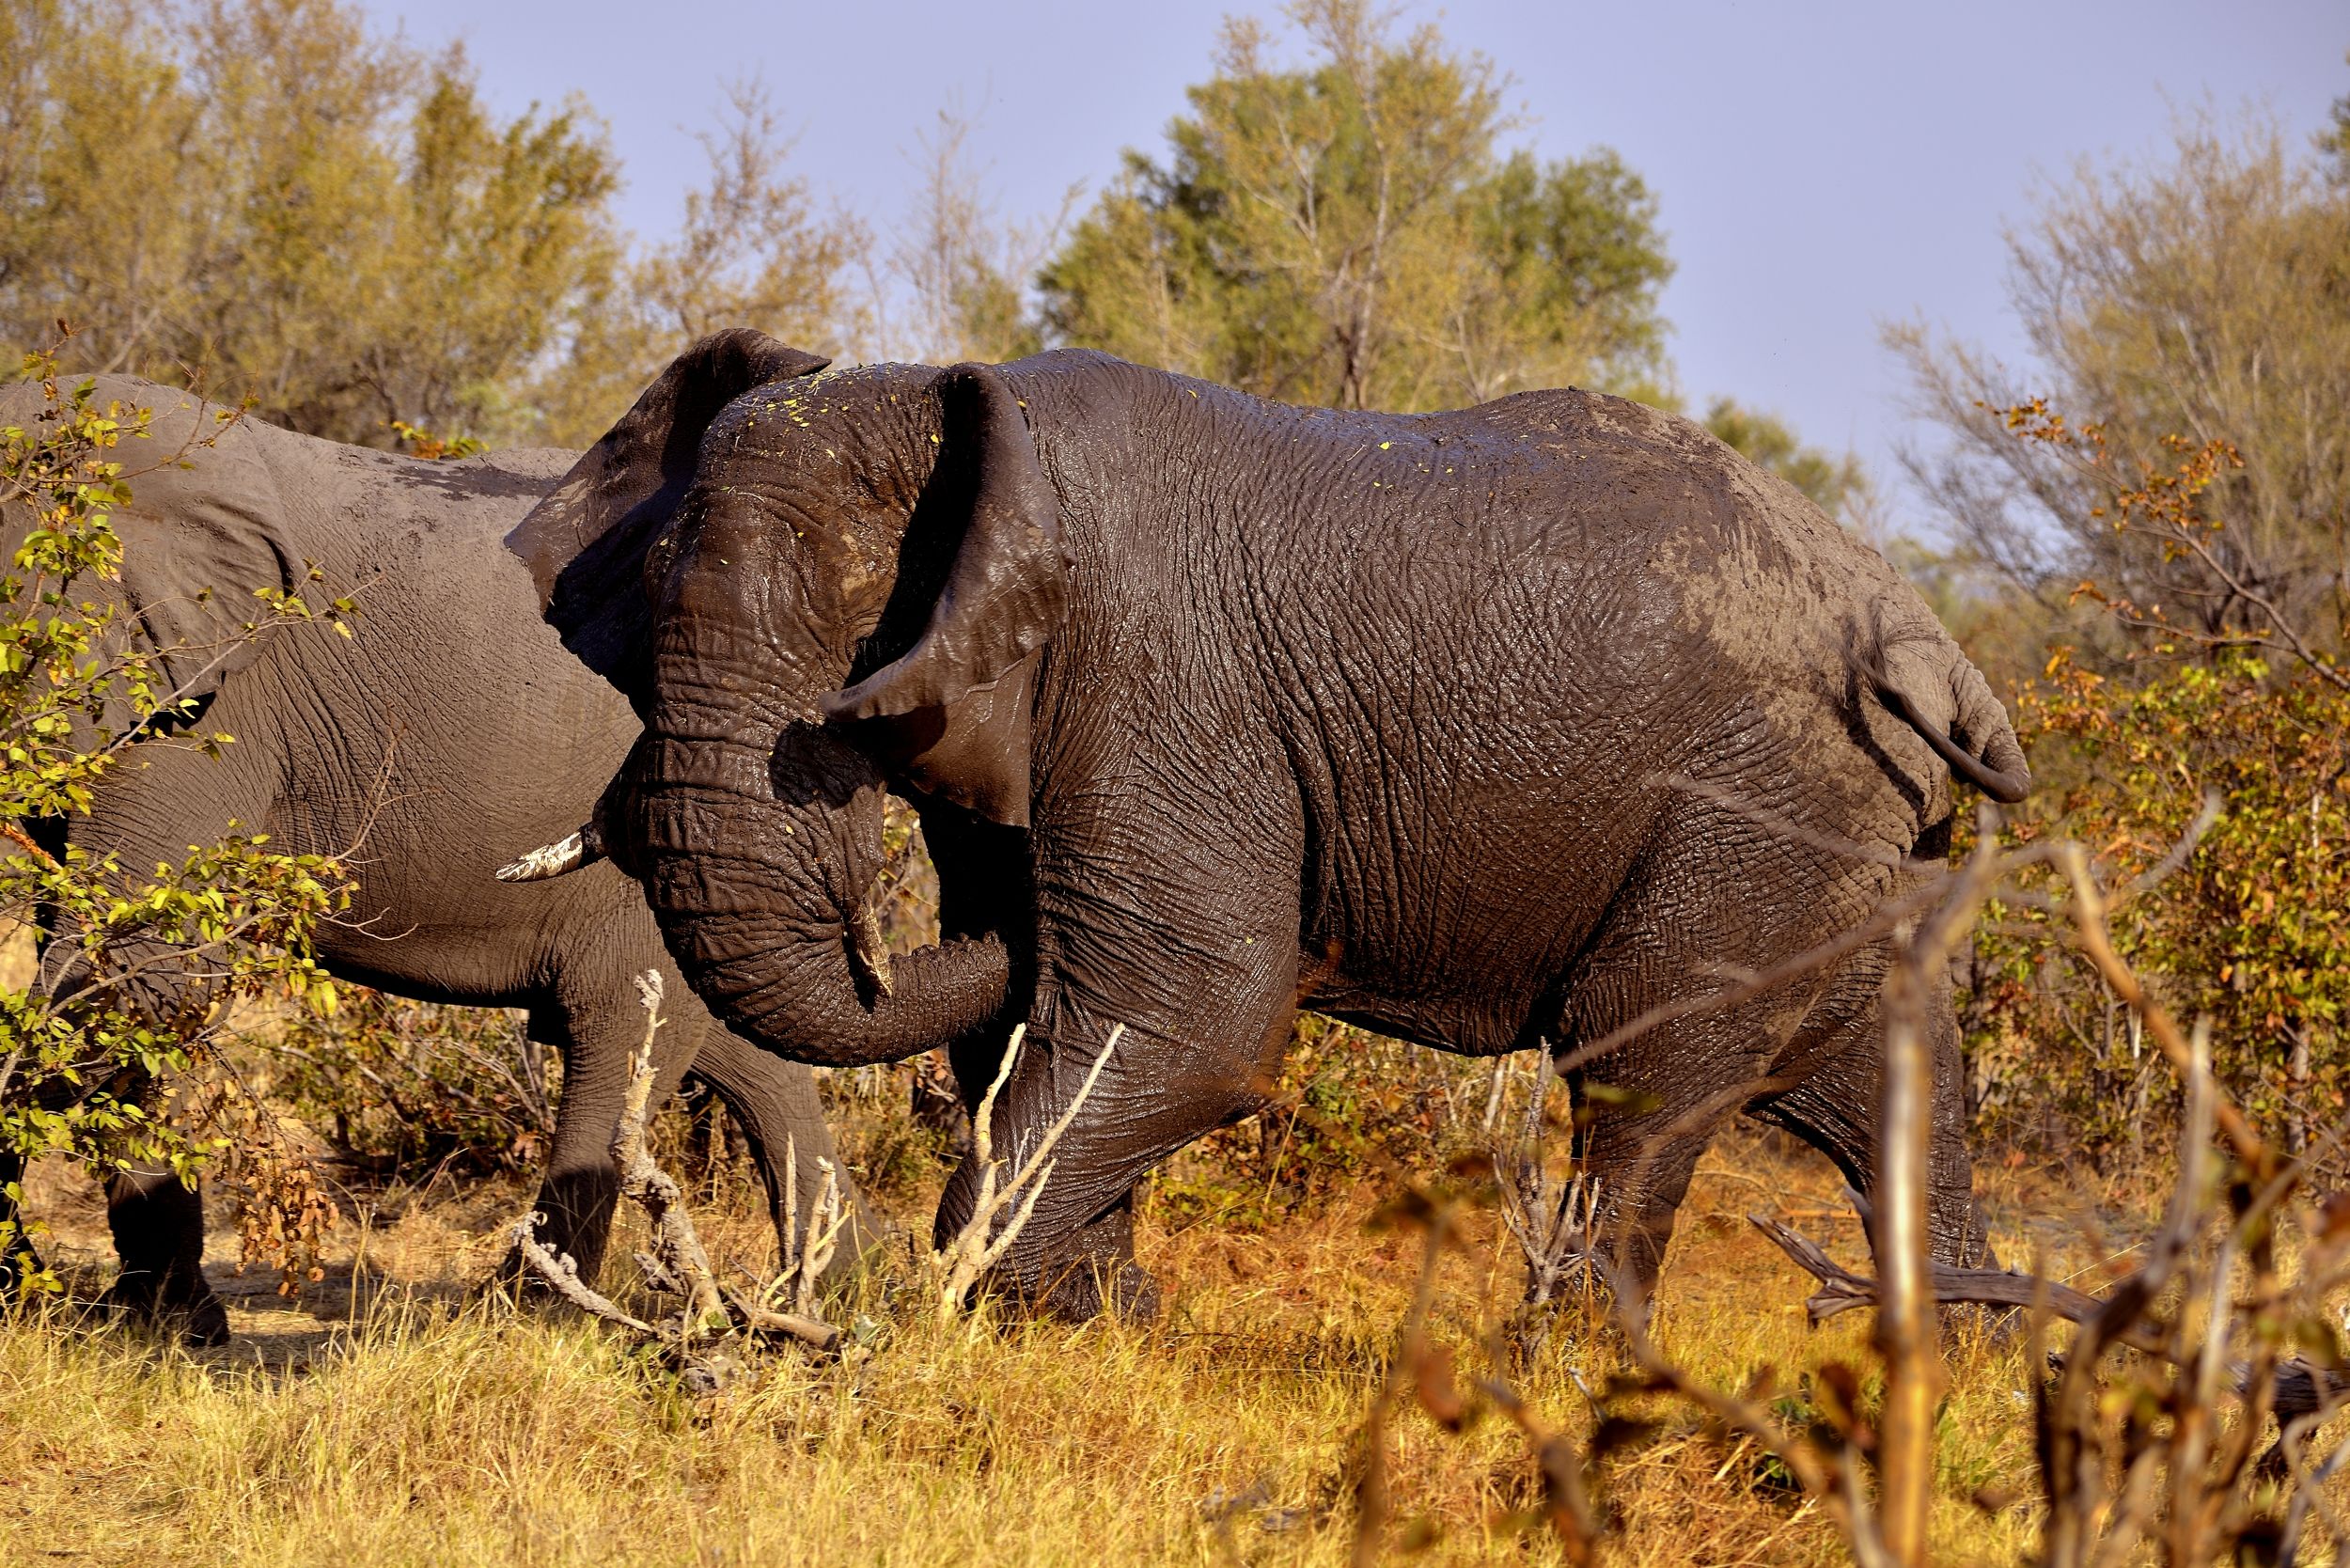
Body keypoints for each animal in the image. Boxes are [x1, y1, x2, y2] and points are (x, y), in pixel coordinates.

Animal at [0, 371, 872, 1344]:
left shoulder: (203, 698)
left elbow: (133, 972)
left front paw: (148, 1327)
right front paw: (106, 1311)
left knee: (617, 1032)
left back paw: (526, 1320)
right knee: (729, 1044)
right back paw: (845, 1299)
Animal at [506, 329, 2030, 1319]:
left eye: (840, 633)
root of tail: (1930, 642)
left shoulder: (1156, 679)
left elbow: (1196, 1018)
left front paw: (994, 1317)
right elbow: (1043, 1018)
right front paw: (1094, 1327)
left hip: (1759, 811)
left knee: (1641, 1078)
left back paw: (1573, 1379)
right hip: (1831, 837)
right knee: (1878, 1076)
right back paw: (1943, 1379)